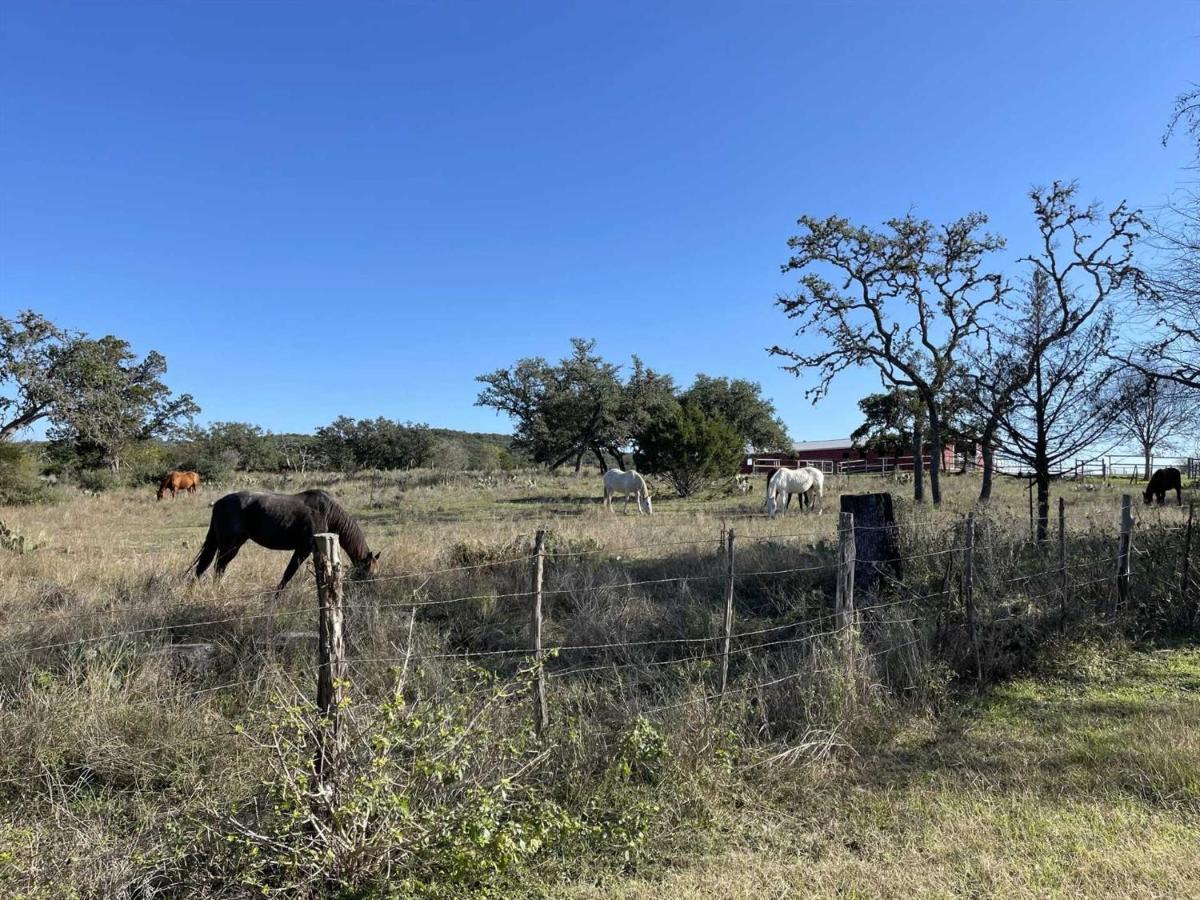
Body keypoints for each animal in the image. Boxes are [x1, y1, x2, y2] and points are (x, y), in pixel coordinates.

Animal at [192, 489, 379, 588]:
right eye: (370, 573)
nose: (372, 592)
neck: (327, 513)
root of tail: (218, 503)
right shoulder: (303, 549)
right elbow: (288, 574)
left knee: (207, 566)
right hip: (230, 546)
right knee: (218, 566)